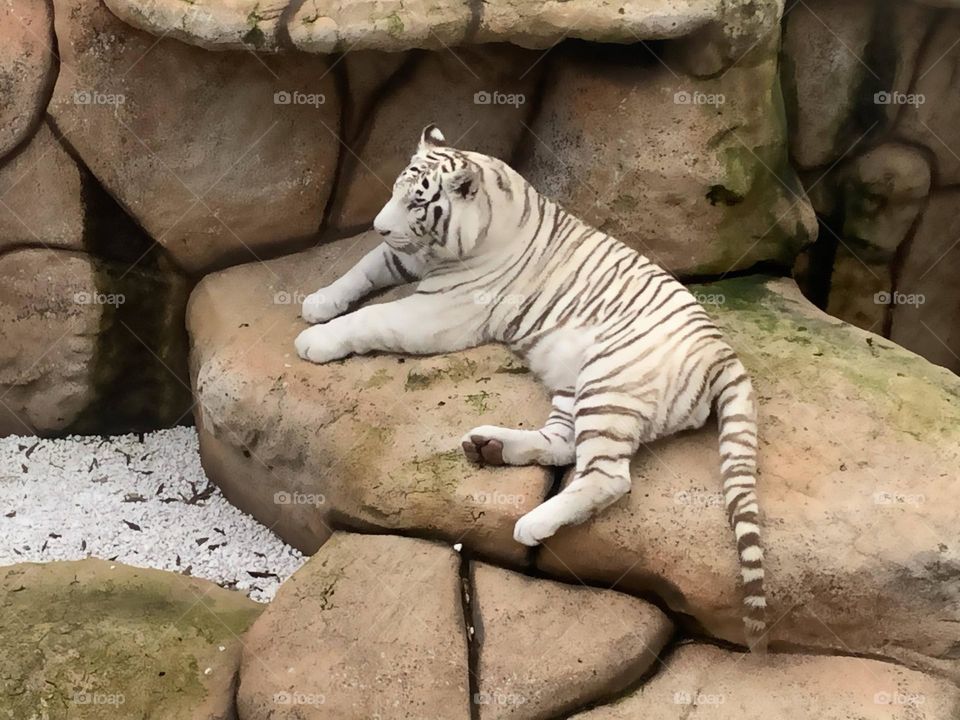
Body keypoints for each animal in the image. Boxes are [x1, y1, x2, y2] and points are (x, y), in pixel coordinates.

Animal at [294, 124, 767, 650]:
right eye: (397, 191)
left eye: (418, 203)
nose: (378, 226)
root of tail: (721, 351)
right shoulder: (403, 260)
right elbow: (362, 268)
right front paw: (318, 301)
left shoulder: (439, 311)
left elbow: (372, 317)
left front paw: (316, 340)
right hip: (573, 384)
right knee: (562, 444)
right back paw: (491, 447)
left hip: (608, 382)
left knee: (608, 476)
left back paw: (531, 523)